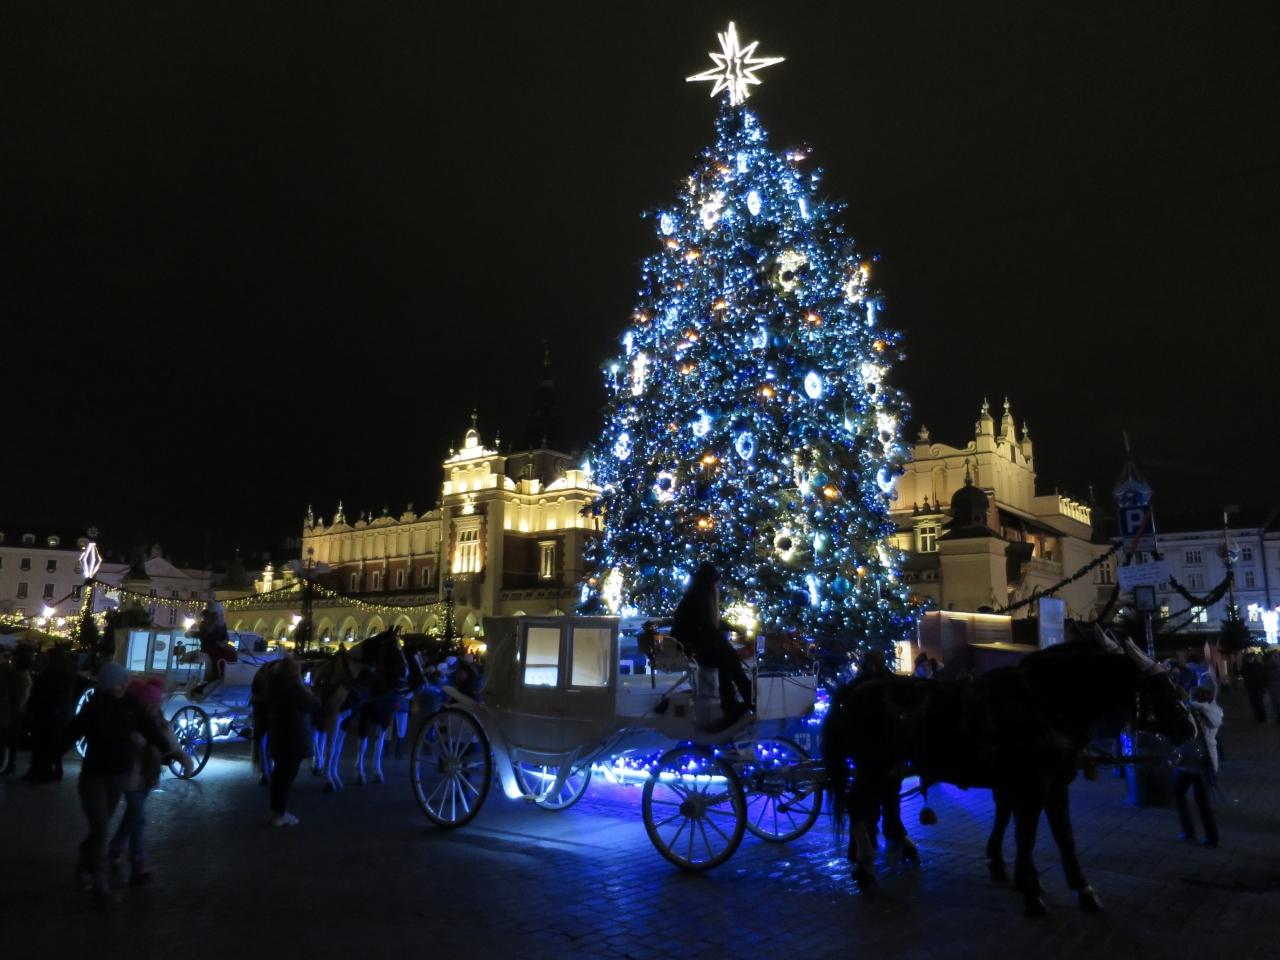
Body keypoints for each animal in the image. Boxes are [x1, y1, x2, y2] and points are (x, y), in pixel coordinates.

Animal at [821, 627, 1196, 916]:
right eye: (1159, 687)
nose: (1189, 728)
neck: (1044, 702)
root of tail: (853, 689)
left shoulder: (1055, 783)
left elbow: (1063, 837)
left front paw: (1082, 889)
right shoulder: (1031, 784)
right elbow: (1025, 835)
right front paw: (1030, 892)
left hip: (888, 767)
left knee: (879, 803)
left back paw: (892, 849)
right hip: (872, 766)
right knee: (858, 804)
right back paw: (864, 867)